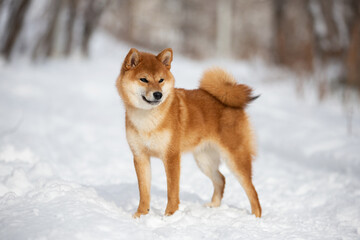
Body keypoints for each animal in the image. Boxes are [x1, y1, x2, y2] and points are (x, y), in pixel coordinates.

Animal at [116, 47, 260, 218]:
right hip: (204, 160)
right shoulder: (140, 156)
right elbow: (144, 192)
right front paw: (141, 215)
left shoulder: (171, 157)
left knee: (252, 190)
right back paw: (213, 206)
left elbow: (172, 192)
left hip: (234, 159)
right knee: (221, 179)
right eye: (144, 79)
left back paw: (256, 217)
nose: (158, 94)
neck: (147, 120)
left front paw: (169, 216)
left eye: (161, 80)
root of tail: (228, 98)